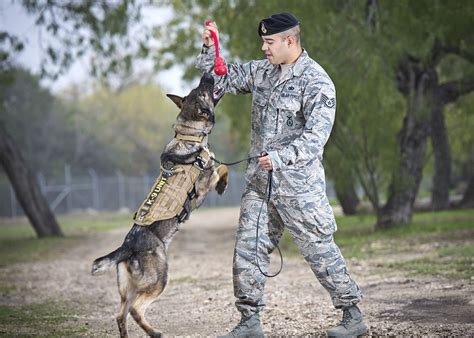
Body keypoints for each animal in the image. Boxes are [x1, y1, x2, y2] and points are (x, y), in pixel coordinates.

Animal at [91, 72, 230, 336]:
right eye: (203, 91)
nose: (207, 74)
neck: (189, 133)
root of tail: (128, 246)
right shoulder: (205, 182)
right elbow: (222, 167)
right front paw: (223, 185)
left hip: (129, 289)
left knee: (120, 314)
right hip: (159, 280)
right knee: (136, 310)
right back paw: (155, 332)